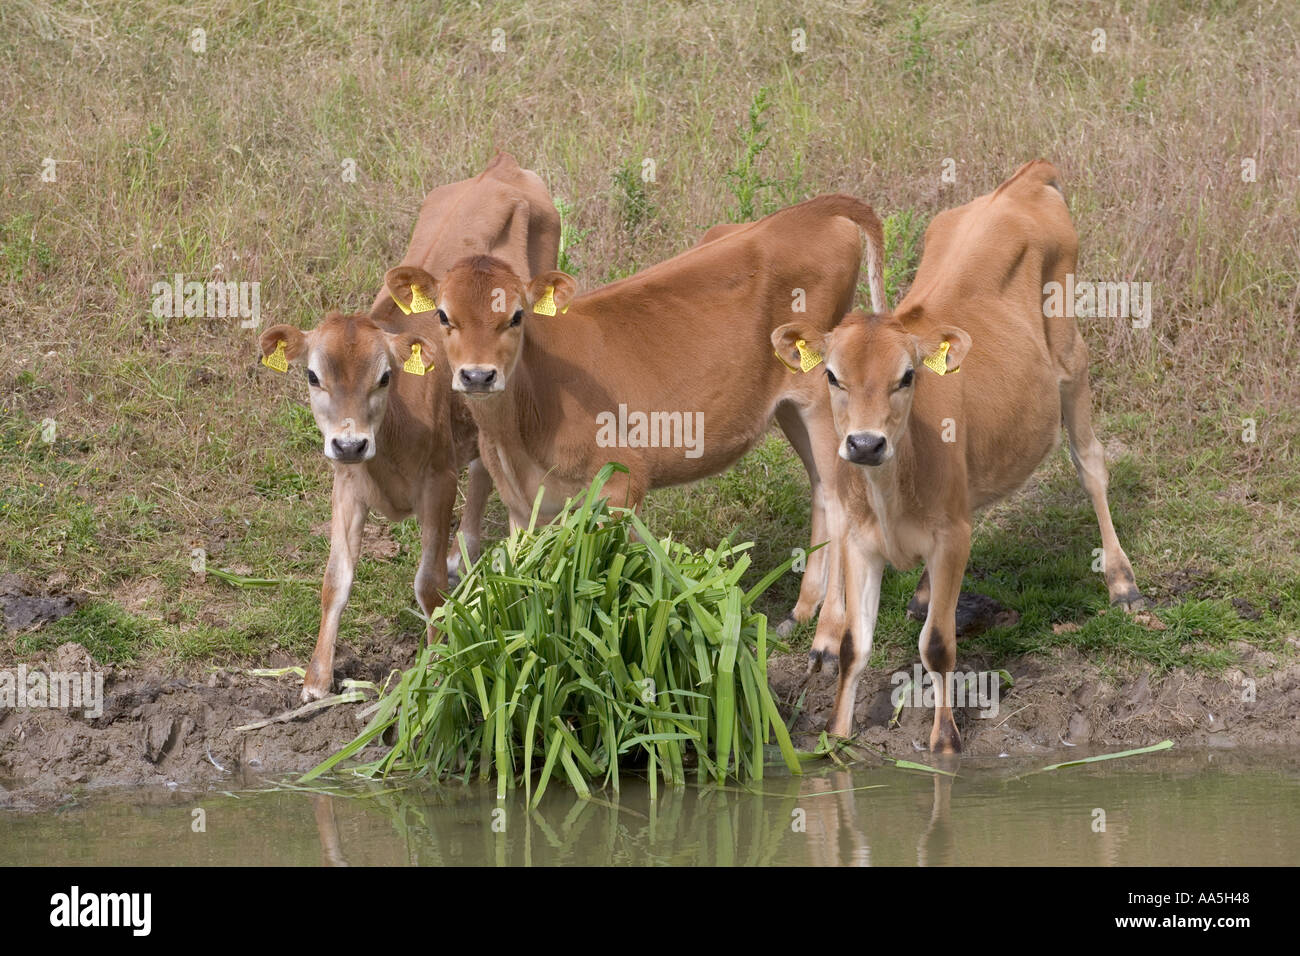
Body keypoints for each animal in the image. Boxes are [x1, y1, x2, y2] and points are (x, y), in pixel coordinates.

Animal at [259, 153, 559, 701]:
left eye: (385, 376)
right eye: (312, 375)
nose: (351, 442)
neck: (388, 445)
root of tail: (501, 168)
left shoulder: (437, 482)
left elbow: (428, 584)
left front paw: (439, 661)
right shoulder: (346, 483)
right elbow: (335, 580)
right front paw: (316, 678)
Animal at [381, 193, 886, 632]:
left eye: (517, 316)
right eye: (443, 316)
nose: (478, 376)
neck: (520, 429)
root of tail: (811, 210)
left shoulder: (624, 480)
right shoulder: (524, 507)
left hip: (822, 398)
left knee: (841, 498)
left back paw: (828, 633)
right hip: (790, 407)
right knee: (821, 489)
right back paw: (801, 610)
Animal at [772, 160, 1144, 753]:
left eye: (907, 376)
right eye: (831, 375)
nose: (864, 444)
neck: (892, 487)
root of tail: (1019, 182)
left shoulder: (951, 537)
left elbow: (938, 645)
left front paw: (945, 741)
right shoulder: (857, 538)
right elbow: (854, 645)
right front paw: (836, 737)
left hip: (1071, 357)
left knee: (1090, 463)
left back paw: (1122, 582)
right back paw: (924, 595)